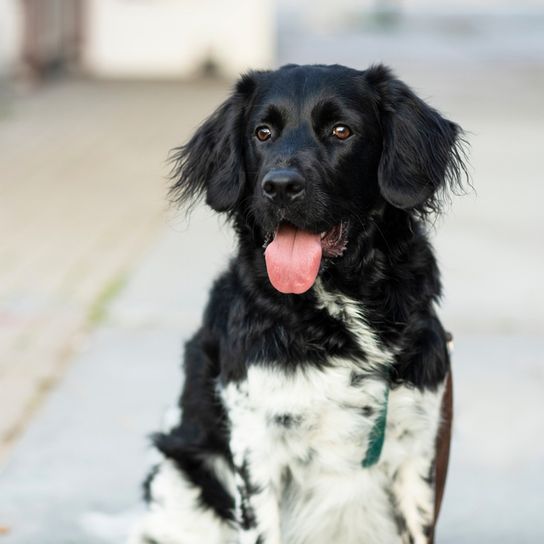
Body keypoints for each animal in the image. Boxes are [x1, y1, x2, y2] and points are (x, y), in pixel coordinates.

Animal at [131, 63, 468, 544]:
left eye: (342, 130)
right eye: (263, 132)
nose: (279, 186)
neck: (340, 315)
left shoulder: (417, 448)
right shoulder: (257, 449)